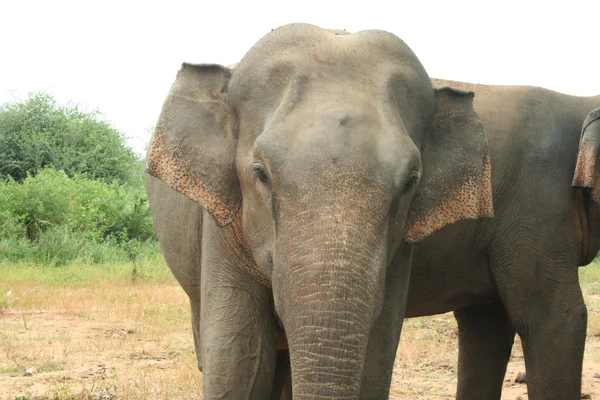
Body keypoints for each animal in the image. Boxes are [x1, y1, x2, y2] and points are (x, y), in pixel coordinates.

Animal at [144, 23, 492, 398]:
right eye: (261, 173)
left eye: (410, 181)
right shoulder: (222, 223)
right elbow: (238, 365)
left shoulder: (400, 250)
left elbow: (376, 360)